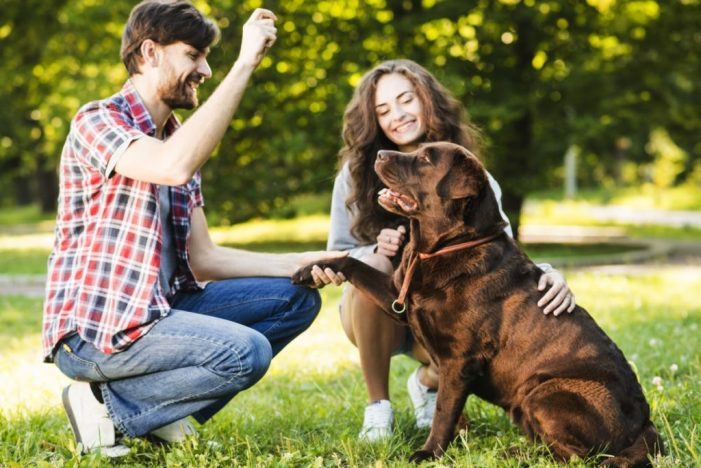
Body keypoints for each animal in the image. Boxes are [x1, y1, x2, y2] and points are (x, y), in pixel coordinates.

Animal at [292, 140, 660, 464]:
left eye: (424, 159)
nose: (380, 153)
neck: (441, 249)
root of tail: (645, 426)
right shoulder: (399, 297)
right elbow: (353, 263)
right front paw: (310, 269)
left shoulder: (459, 360)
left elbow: (443, 410)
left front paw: (428, 453)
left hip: (545, 390)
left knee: (578, 456)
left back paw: (515, 453)